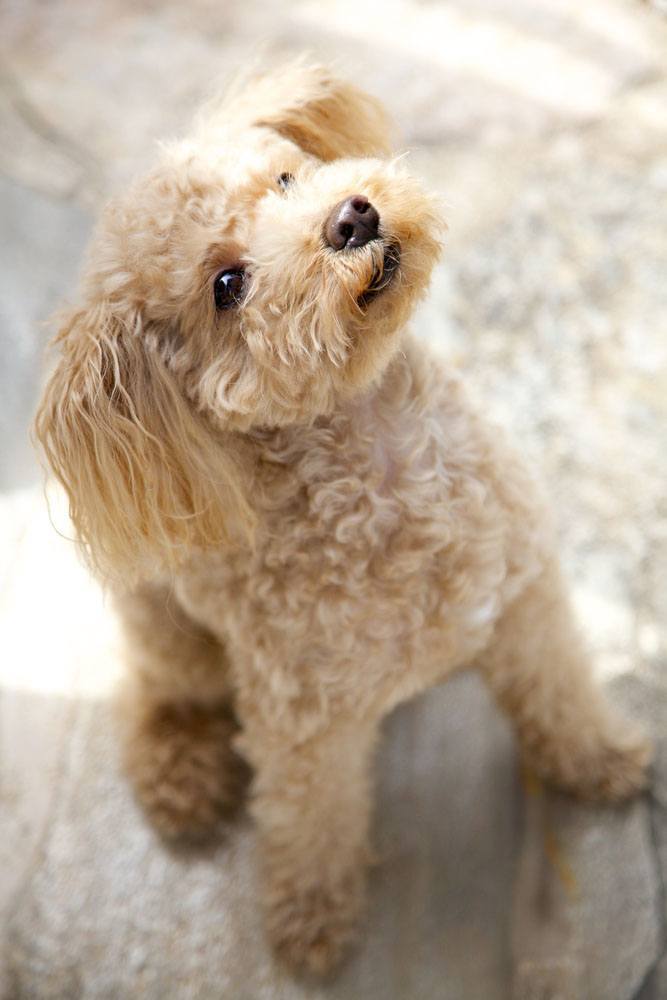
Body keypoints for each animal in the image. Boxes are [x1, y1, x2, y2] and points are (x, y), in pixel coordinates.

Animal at [35, 60, 652, 968]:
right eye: (226, 286)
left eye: (285, 179)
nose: (350, 217)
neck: (380, 469)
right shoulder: (304, 723)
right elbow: (310, 820)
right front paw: (312, 926)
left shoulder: (523, 601)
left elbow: (559, 694)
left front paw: (602, 761)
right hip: (170, 631)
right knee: (156, 693)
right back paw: (180, 778)